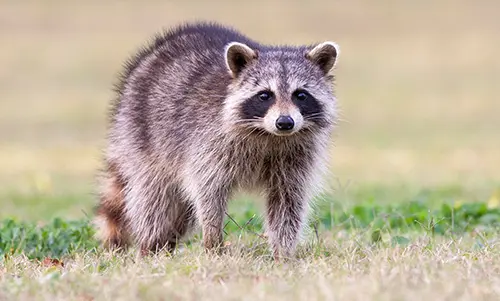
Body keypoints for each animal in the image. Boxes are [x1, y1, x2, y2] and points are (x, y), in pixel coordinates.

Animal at [94, 21, 340, 258]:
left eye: (301, 95)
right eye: (265, 95)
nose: (285, 122)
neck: (268, 135)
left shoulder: (297, 159)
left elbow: (287, 204)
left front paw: (283, 253)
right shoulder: (208, 145)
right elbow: (207, 193)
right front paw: (213, 242)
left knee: (178, 215)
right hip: (143, 138)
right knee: (154, 201)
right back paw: (150, 247)